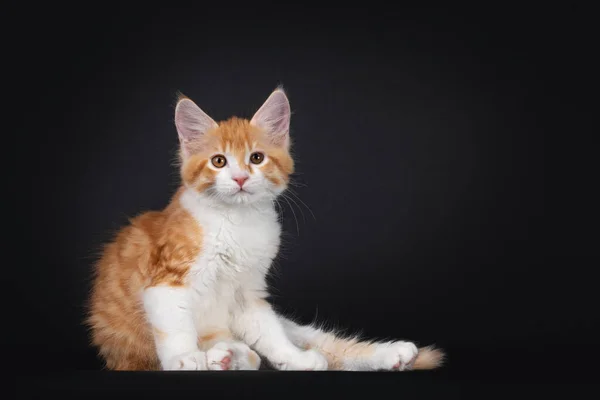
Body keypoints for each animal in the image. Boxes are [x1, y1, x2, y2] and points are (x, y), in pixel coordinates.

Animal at [88, 87, 446, 372]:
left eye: (256, 158)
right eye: (219, 161)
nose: (240, 178)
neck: (237, 223)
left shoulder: (248, 293)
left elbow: (270, 334)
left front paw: (295, 359)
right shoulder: (166, 279)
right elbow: (175, 325)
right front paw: (184, 358)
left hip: (293, 329)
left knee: (318, 345)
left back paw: (392, 354)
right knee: (247, 352)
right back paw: (224, 356)